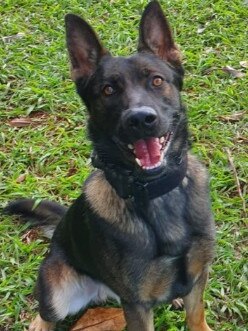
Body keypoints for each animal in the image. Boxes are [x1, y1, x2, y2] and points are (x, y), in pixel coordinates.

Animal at [5, 1, 215, 330]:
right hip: (59, 289)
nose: (140, 119)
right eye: (107, 90)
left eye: (157, 80)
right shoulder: (137, 304)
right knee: (45, 313)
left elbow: (197, 317)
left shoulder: (198, 275)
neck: (156, 194)